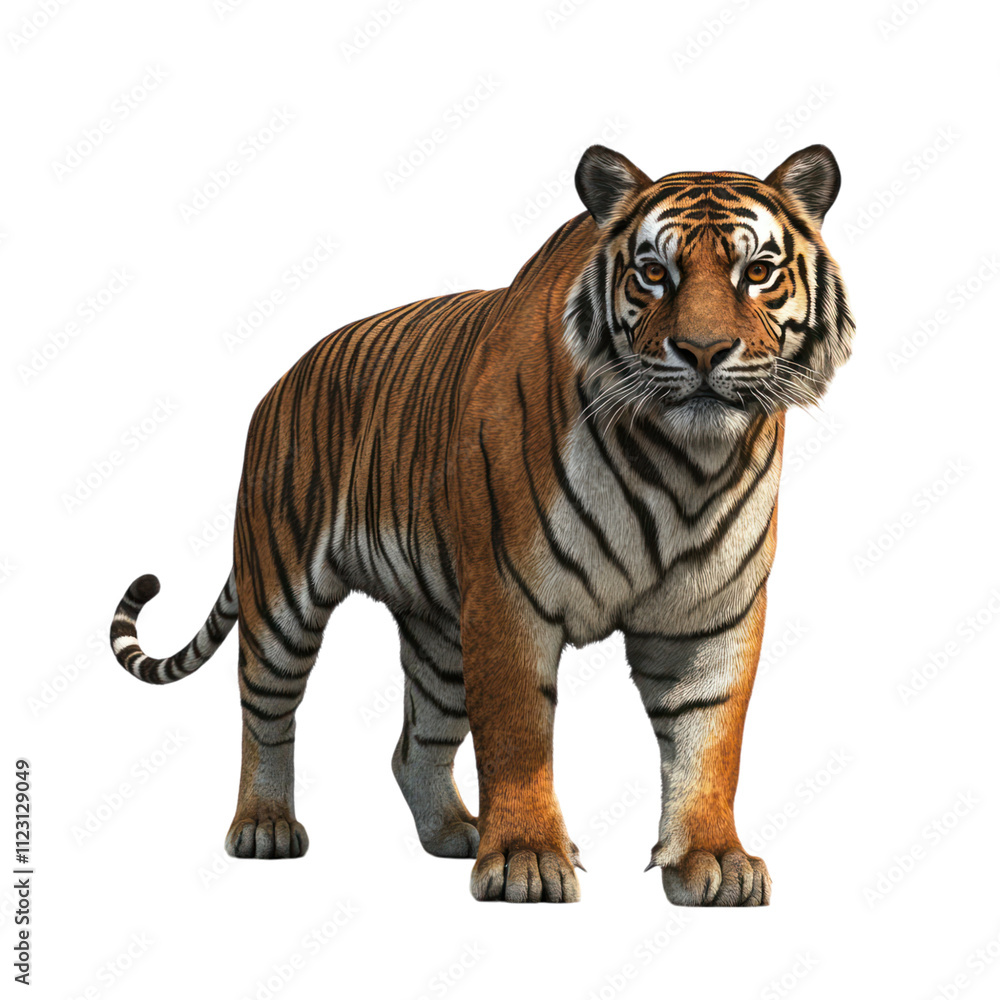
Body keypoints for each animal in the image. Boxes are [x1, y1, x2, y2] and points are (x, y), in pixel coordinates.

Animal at [110, 143, 854, 906]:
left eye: (757, 272)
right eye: (654, 272)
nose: (703, 351)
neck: (683, 462)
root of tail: (281, 381)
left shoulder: (711, 614)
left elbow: (709, 743)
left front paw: (713, 860)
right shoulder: (508, 595)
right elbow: (518, 735)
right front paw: (527, 860)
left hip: (438, 629)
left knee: (414, 744)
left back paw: (452, 832)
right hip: (281, 592)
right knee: (264, 709)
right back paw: (264, 826)